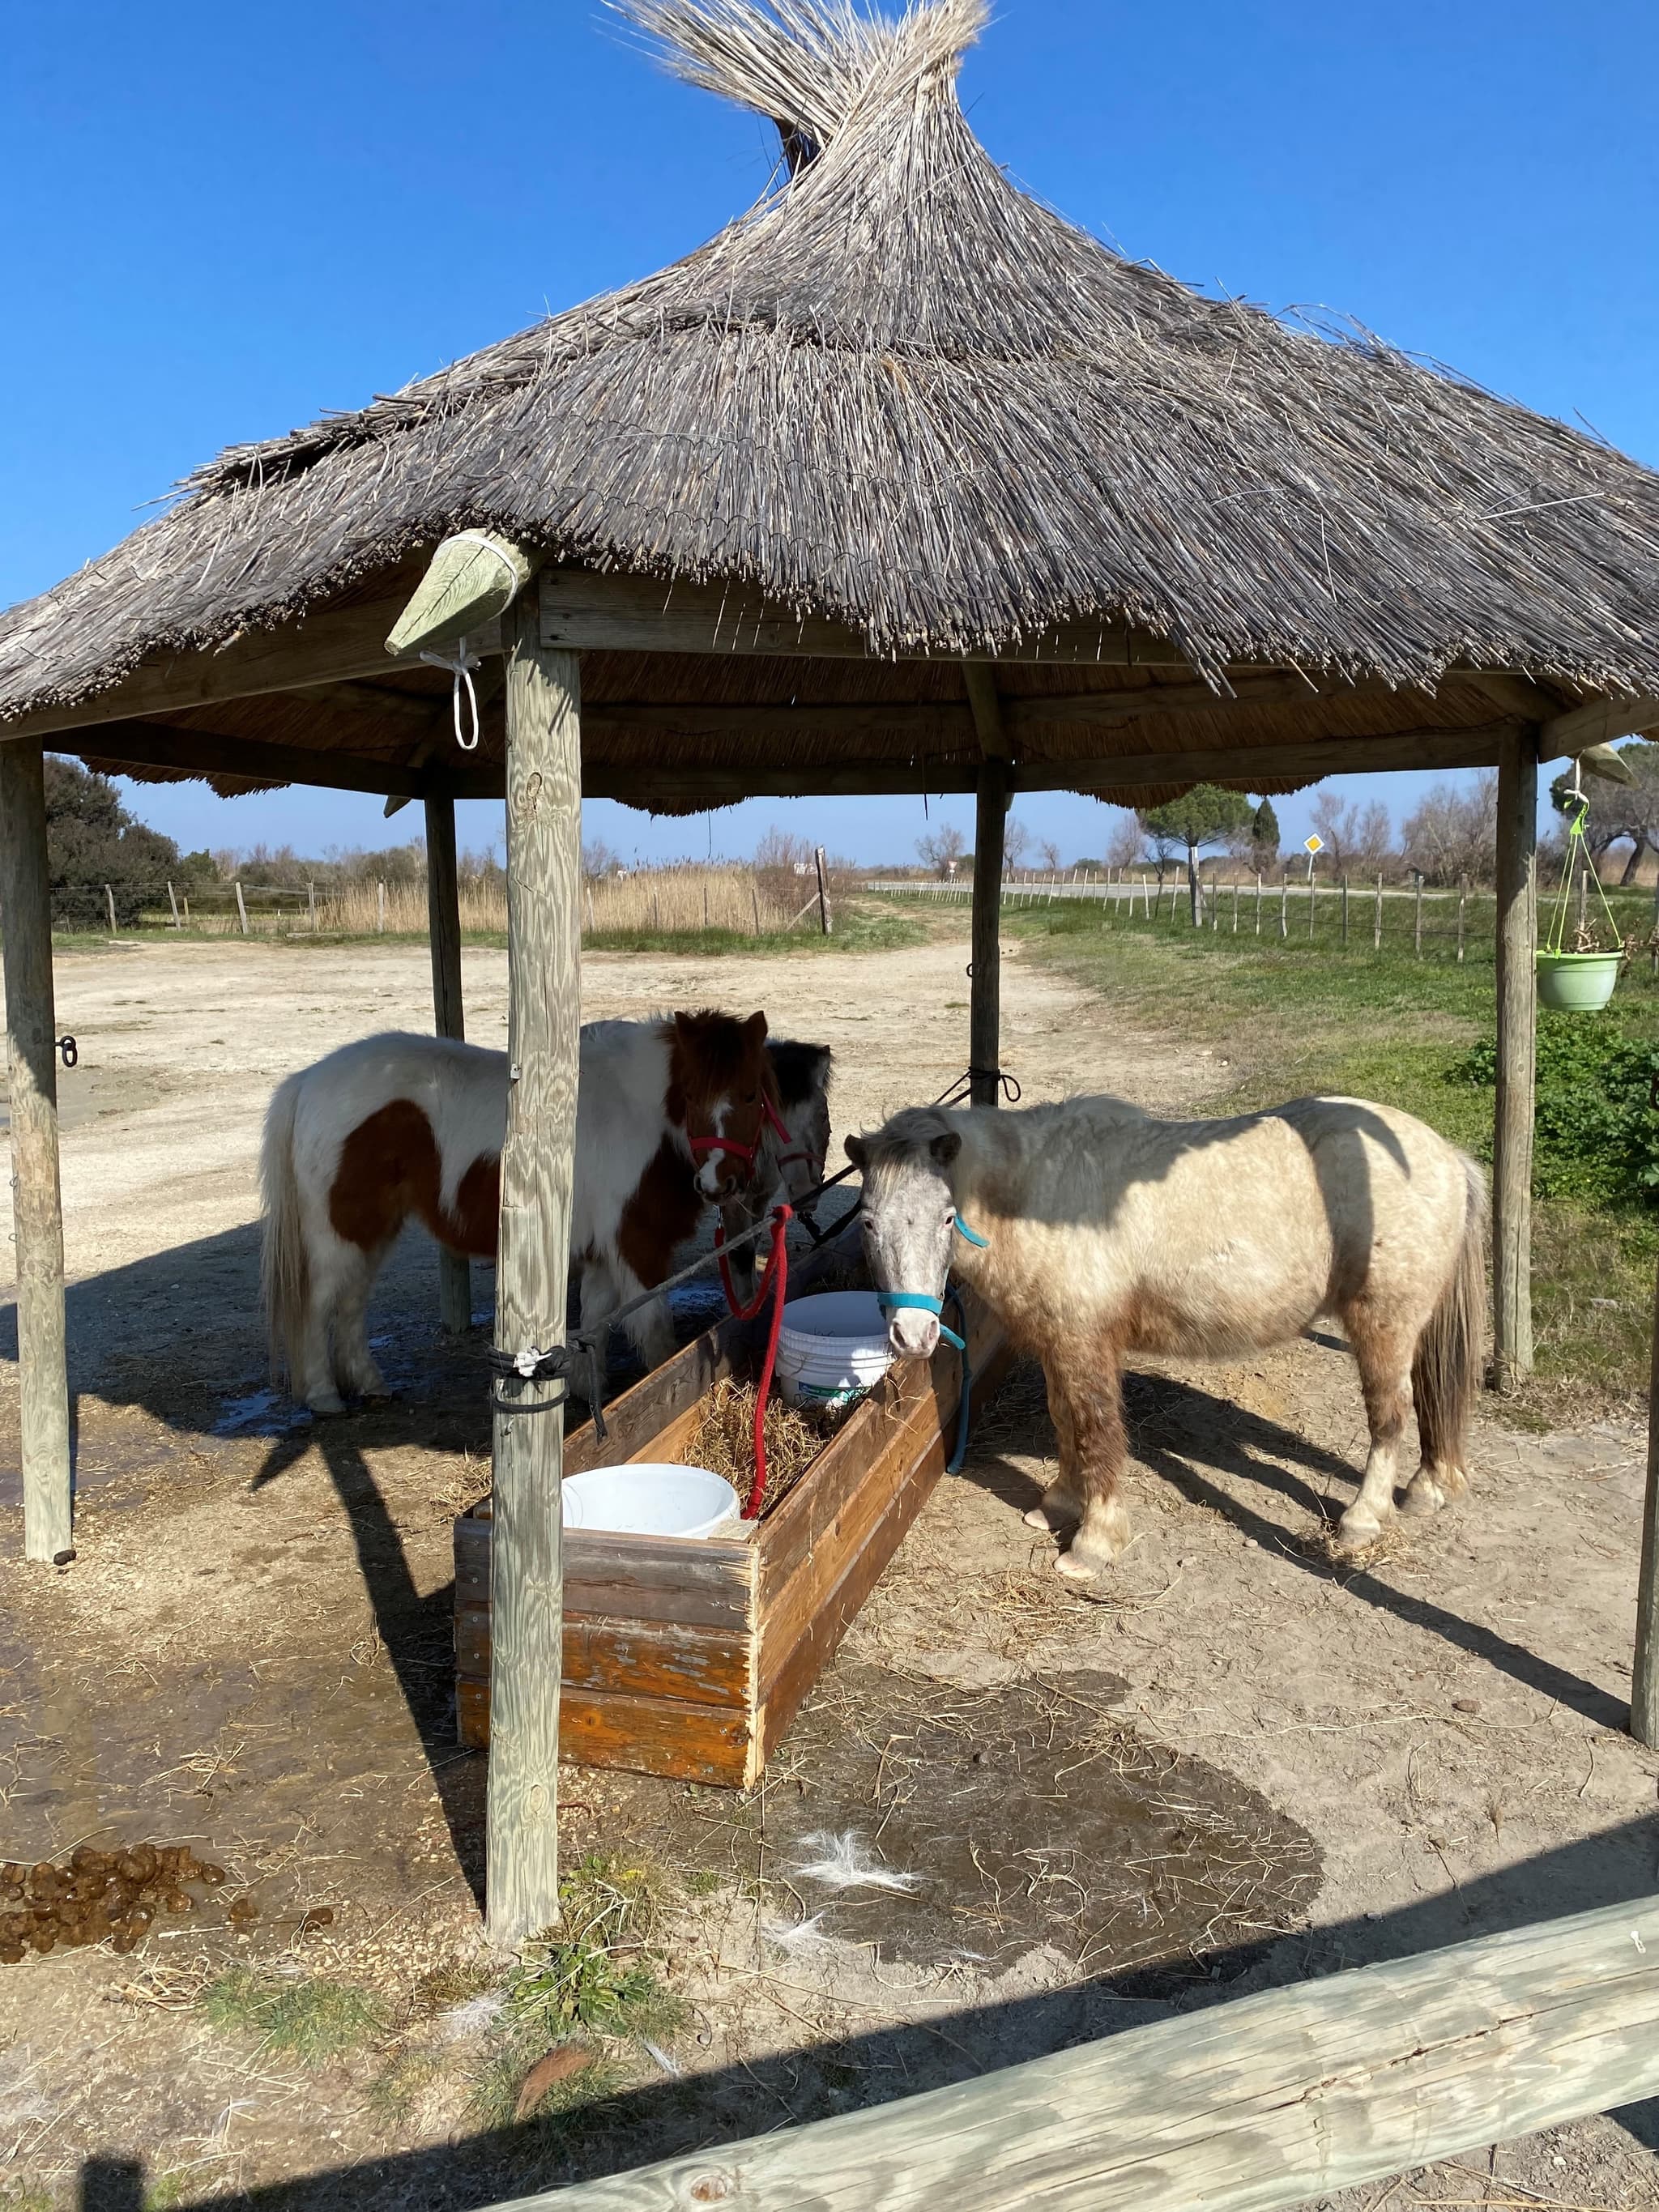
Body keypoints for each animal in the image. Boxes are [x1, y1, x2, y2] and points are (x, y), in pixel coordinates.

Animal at [262, 1009, 782, 1413]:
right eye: (691, 1095)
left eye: (751, 1094)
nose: (718, 1183)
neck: (637, 1111)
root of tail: (308, 1081)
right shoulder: (637, 1247)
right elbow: (656, 1334)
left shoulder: (601, 1253)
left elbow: (594, 1323)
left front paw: (586, 1391)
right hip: (340, 1234)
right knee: (319, 1304)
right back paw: (324, 1396)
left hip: (373, 1231)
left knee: (351, 1303)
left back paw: (371, 1386)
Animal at [846, 1092, 1487, 1577]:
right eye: (868, 1222)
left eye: (947, 1217)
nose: (912, 1334)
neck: (1037, 1193)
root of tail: (1448, 1157)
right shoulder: (1061, 1345)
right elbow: (1065, 1422)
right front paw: (1058, 1505)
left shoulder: (1086, 1345)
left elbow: (1096, 1430)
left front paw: (1093, 1544)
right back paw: (1430, 1486)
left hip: (1382, 1322)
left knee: (1390, 1415)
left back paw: (1363, 1518)